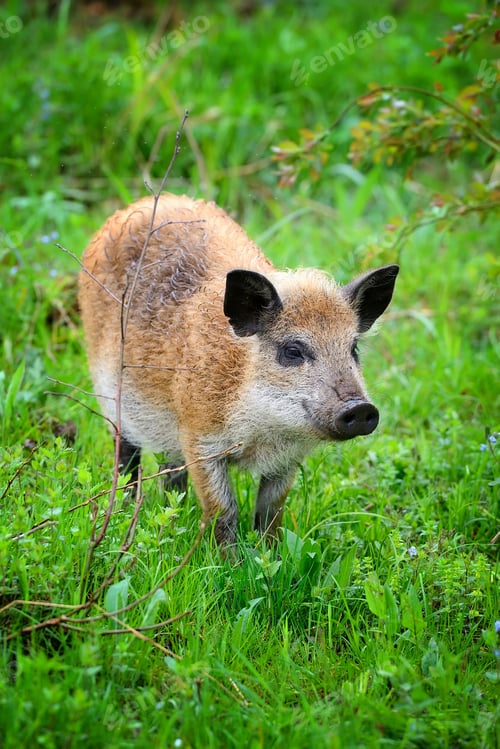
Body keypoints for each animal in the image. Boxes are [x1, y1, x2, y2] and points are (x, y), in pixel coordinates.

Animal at [78, 193, 398, 547]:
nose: (361, 407)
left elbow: (271, 510)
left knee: (170, 472)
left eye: (353, 348)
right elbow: (222, 510)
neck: (261, 431)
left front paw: (269, 554)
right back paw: (123, 513)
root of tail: (136, 206)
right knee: (126, 460)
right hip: (111, 397)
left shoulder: (287, 457)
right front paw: (227, 559)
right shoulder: (199, 438)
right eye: (292, 351)